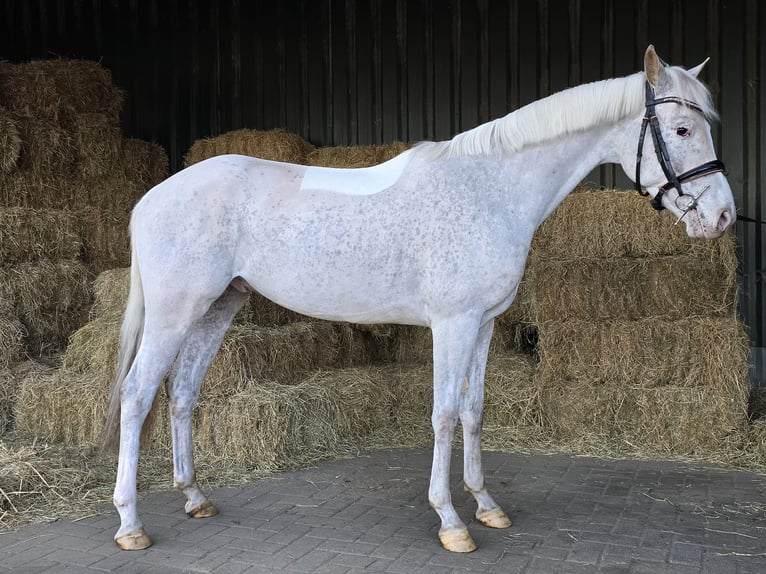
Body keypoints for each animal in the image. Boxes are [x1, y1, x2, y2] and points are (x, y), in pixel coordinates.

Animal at [102, 47, 736, 556]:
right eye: (683, 129)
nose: (724, 216)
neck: (489, 188)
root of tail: (150, 198)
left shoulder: (483, 324)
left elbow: (475, 410)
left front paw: (487, 506)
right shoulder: (452, 324)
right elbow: (444, 414)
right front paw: (451, 521)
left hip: (217, 309)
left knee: (182, 393)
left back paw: (195, 497)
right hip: (175, 313)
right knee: (137, 395)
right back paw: (130, 524)